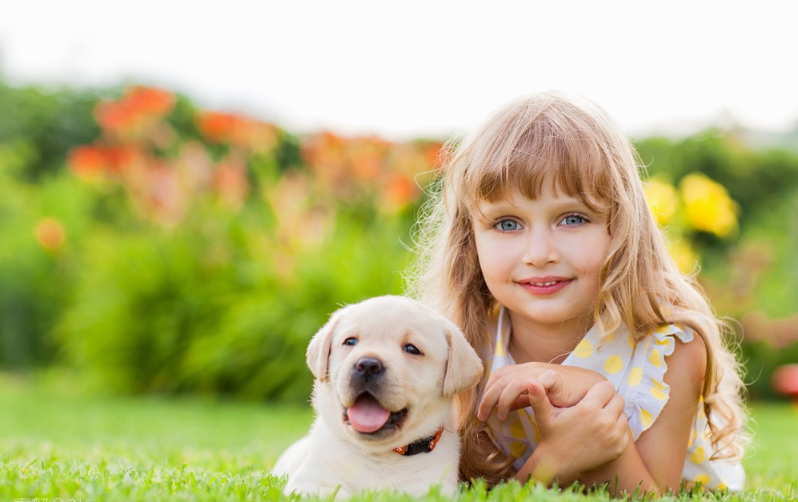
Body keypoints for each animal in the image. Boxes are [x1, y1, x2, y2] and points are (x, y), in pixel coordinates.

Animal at [272, 296, 484, 496]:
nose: (367, 365)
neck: (379, 453)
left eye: (412, 349)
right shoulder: (312, 482)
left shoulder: (430, 487)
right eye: (350, 341)